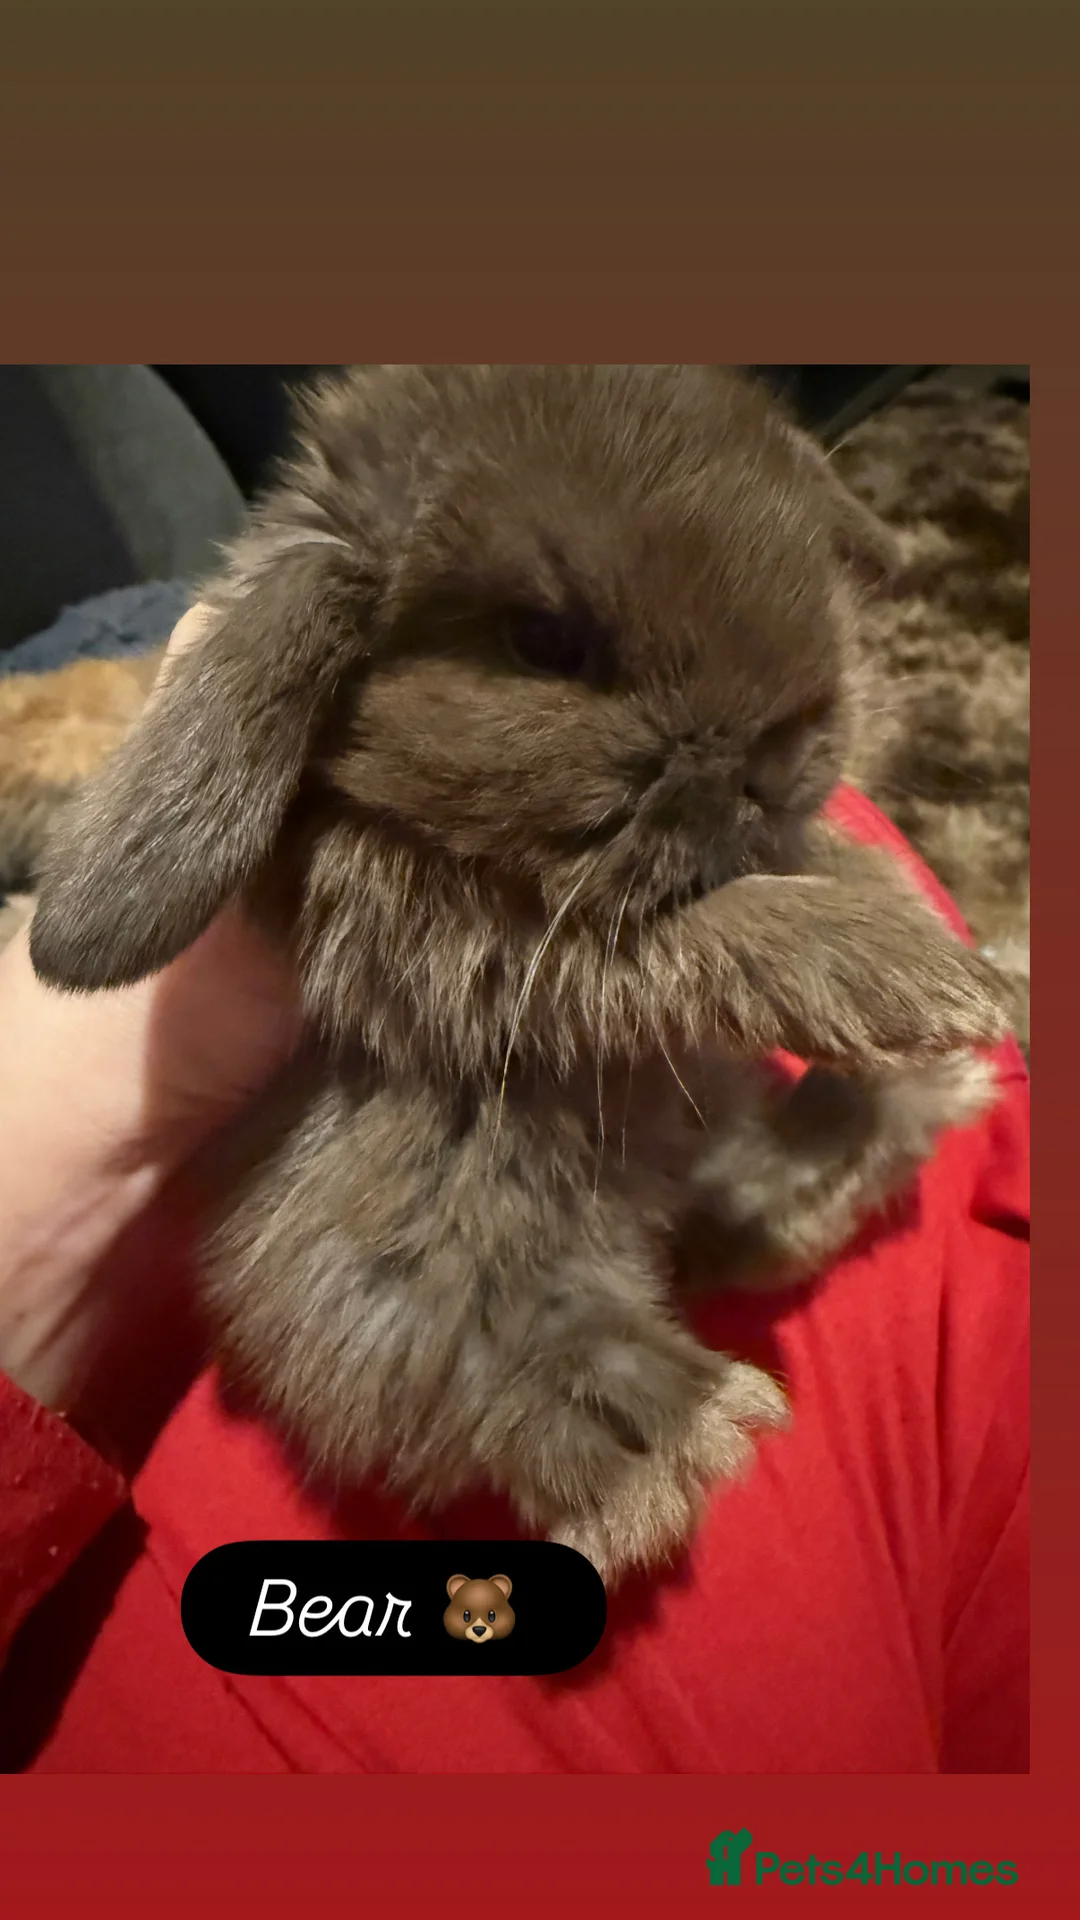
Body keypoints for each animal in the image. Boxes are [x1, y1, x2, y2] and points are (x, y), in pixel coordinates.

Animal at [28, 365, 1009, 1582]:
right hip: (437, 1237)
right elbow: (691, 936)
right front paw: (913, 971)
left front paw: (907, 924)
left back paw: (914, 1098)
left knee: (760, 1207)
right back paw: (678, 1444)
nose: (782, 758)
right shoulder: (471, 945)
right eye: (544, 639)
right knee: (486, 1357)